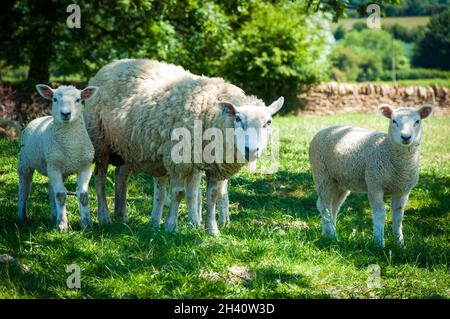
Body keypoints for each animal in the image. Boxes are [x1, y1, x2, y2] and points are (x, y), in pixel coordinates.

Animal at [18, 84, 98, 231]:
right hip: (25, 163)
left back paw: (54, 214)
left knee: (51, 191)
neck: (71, 145)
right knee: (23, 190)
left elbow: (83, 195)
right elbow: (61, 196)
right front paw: (62, 225)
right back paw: (21, 216)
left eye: (78, 100)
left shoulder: (85, 166)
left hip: (56, 167)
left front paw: (86, 224)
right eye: (54, 99)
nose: (65, 114)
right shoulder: (55, 168)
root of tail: (40, 118)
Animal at [310, 104, 432, 249]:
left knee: (333, 206)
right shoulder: (375, 185)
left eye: (417, 121)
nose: (406, 137)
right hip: (322, 174)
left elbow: (398, 216)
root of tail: (325, 129)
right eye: (394, 121)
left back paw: (328, 234)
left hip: (339, 181)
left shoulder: (402, 190)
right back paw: (333, 236)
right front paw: (379, 243)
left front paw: (400, 244)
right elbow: (380, 214)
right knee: (324, 206)